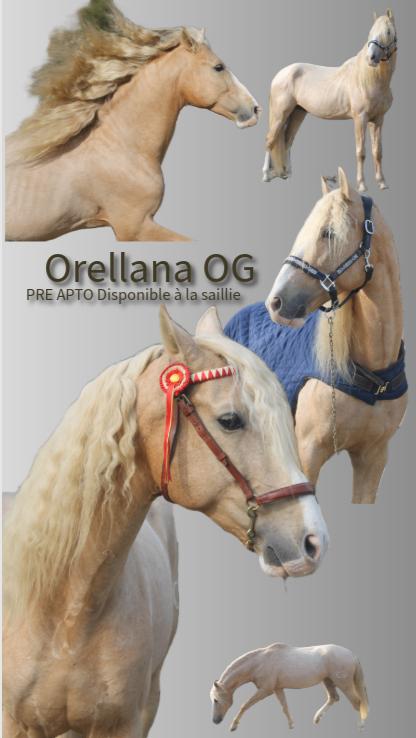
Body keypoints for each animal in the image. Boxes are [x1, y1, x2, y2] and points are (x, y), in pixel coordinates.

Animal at [210, 642, 369, 731]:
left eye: (216, 700)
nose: (215, 721)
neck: (260, 662)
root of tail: (351, 654)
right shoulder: (277, 689)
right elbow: (284, 707)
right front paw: (291, 725)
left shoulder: (265, 690)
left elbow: (245, 705)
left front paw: (233, 726)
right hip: (328, 681)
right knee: (333, 698)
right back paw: (317, 719)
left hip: (344, 683)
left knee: (357, 702)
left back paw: (361, 726)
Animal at [262, 10, 397, 192]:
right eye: (370, 33)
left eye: (388, 32)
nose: (371, 58)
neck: (368, 79)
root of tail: (280, 74)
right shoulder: (360, 118)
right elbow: (361, 152)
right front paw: (362, 185)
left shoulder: (378, 119)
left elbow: (378, 151)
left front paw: (382, 183)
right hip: (280, 114)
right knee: (270, 140)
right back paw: (266, 176)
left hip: (298, 113)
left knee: (287, 141)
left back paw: (287, 174)